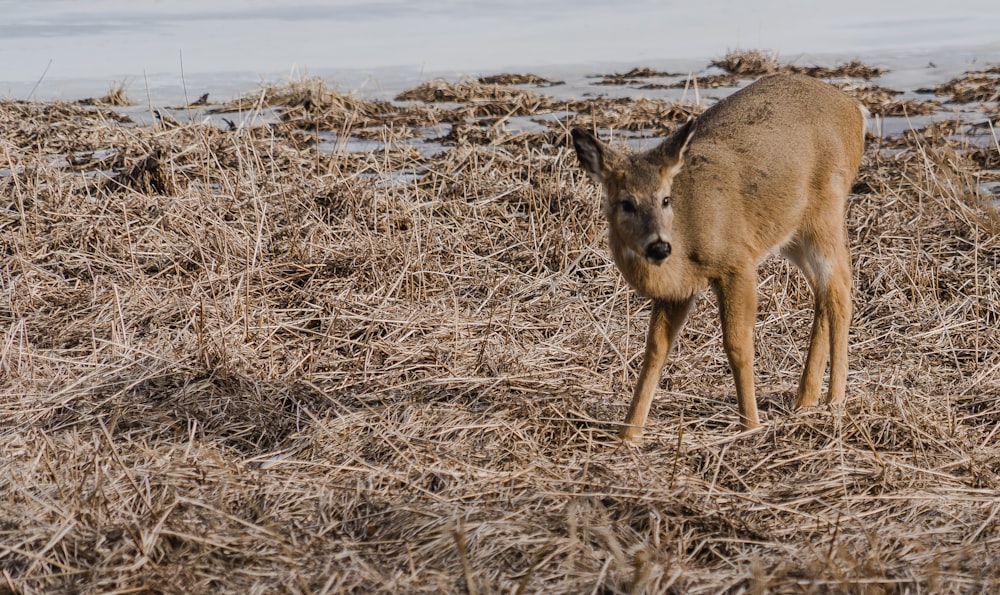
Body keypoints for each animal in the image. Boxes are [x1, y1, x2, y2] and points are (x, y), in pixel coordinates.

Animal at [572, 72, 868, 440]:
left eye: (665, 199)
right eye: (626, 203)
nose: (659, 247)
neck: (686, 239)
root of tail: (854, 109)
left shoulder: (736, 261)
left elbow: (737, 345)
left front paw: (749, 425)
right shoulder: (677, 291)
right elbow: (655, 351)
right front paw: (629, 436)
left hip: (826, 211)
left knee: (840, 288)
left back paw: (834, 402)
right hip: (792, 233)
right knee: (822, 293)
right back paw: (804, 399)